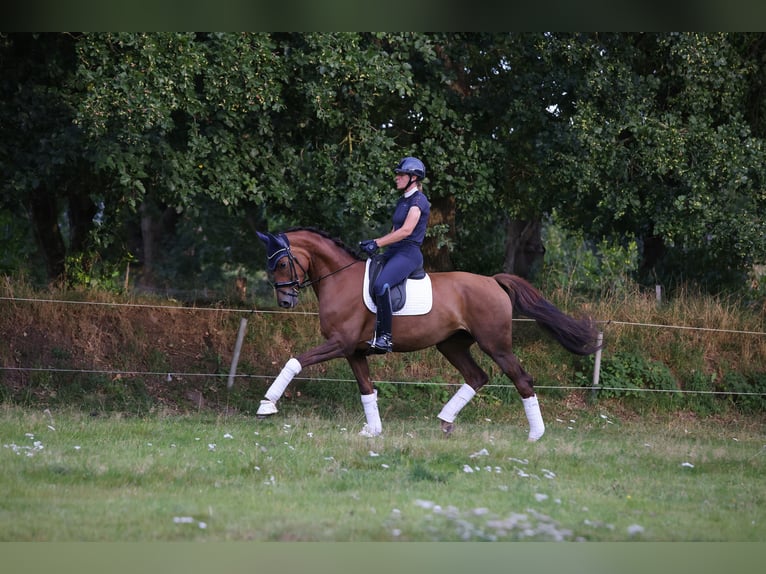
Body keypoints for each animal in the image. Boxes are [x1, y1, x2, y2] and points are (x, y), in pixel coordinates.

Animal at [253, 227, 602, 441]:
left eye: (282, 263)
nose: (285, 301)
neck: (339, 280)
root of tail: (492, 281)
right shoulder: (354, 351)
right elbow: (367, 389)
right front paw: (373, 431)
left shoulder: (340, 343)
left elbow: (295, 361)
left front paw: (266, 405)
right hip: (452, 345)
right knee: (477, 376)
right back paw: (446, 421)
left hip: (496, 344)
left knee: (521, 379)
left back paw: (535, 435)